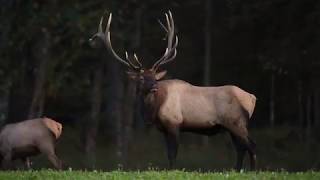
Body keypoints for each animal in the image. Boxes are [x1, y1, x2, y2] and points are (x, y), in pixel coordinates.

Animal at [90, 10, 258, 171]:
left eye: (155, 78)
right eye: (142, 78)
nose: (154, 87)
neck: (154, 110)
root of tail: (252, 98)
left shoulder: (174, 123)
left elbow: (173, 153)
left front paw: (172, 170)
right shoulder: (164, 129)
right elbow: (168, 153)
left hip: (237, 122)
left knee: (251, 145)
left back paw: (253, 170)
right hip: (231, 126)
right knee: (241, 148)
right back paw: (237, 169)